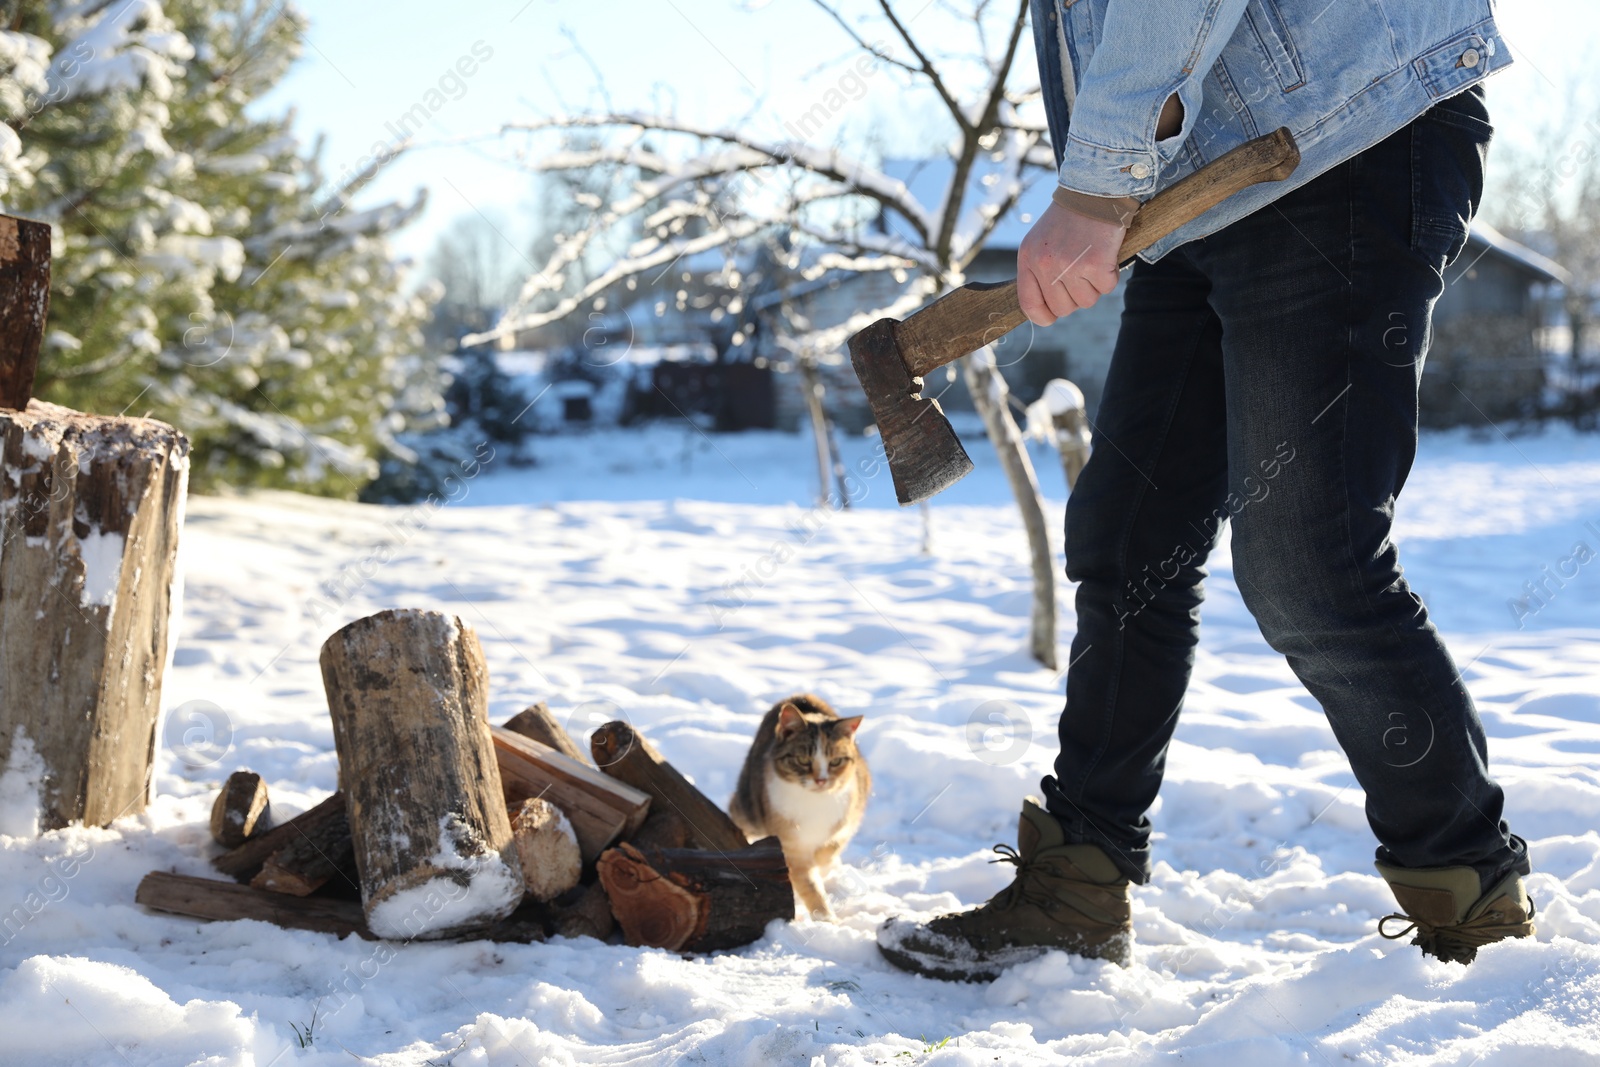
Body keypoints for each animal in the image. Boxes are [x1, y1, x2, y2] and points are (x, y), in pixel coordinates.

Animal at [732, 697, 870, 921]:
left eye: (835, 761)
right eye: (803, 760)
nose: (821, 780)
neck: (815, 802)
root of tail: (801, 696)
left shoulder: (848, 821)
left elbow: (828, 850)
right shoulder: (789, 841)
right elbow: (807, 880)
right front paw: (825, 918)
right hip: (748, 806)